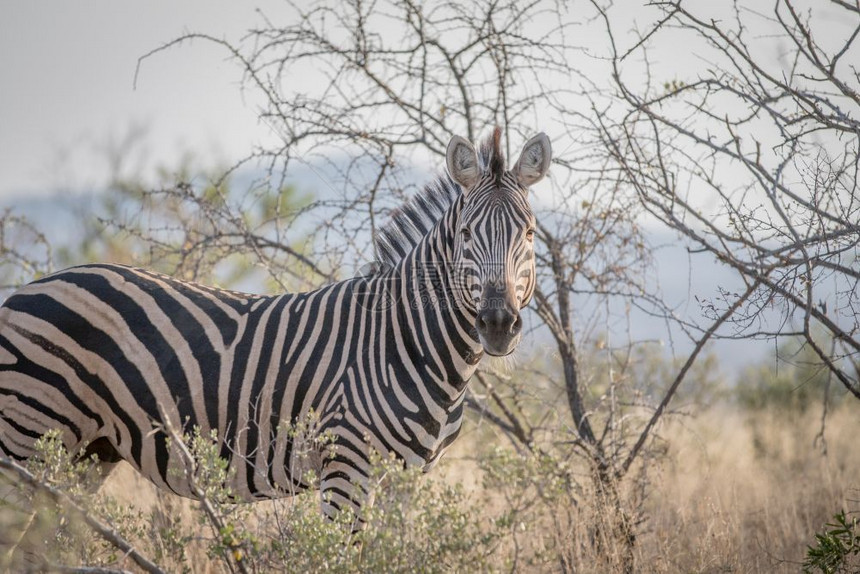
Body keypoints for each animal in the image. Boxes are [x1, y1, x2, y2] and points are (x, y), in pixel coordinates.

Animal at [0, 128, 552, 520]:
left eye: (528, 233)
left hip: (86, 453)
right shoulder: (345, 465)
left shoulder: (406, 479)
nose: (498, 324)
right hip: (25, 441)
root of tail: (23, 290)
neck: (407, 340)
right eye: (466, 234)